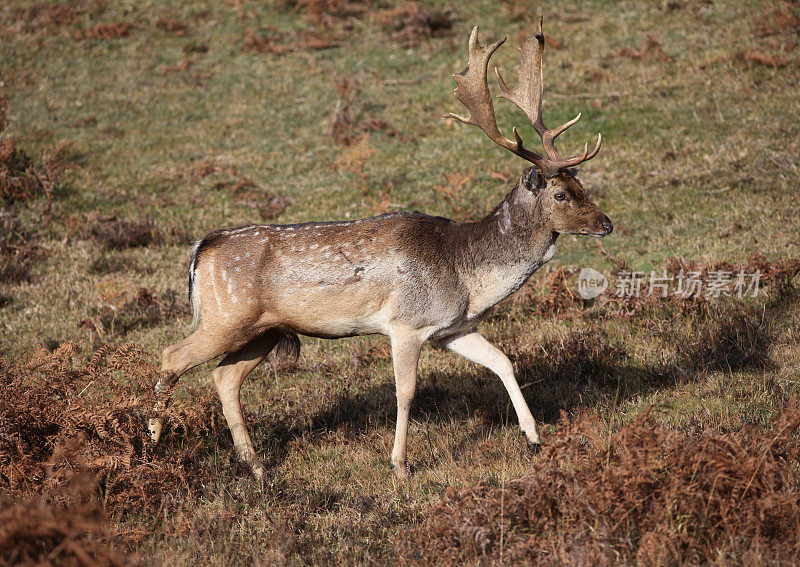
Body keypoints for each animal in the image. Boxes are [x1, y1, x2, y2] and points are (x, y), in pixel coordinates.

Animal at [148, 16, 612, 480]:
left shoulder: (453, 328)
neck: (467, 275)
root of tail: (201, 248)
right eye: (561, 195)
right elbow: (406, 393)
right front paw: (400, 465)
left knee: (224, 378)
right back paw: (153, 443)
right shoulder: (406, 323)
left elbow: (504, 361)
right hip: (226, 318)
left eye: (583, 186)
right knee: (171, 357)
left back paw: (256, 465)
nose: (606, 223)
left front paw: (534, 439)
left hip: (263, 331)